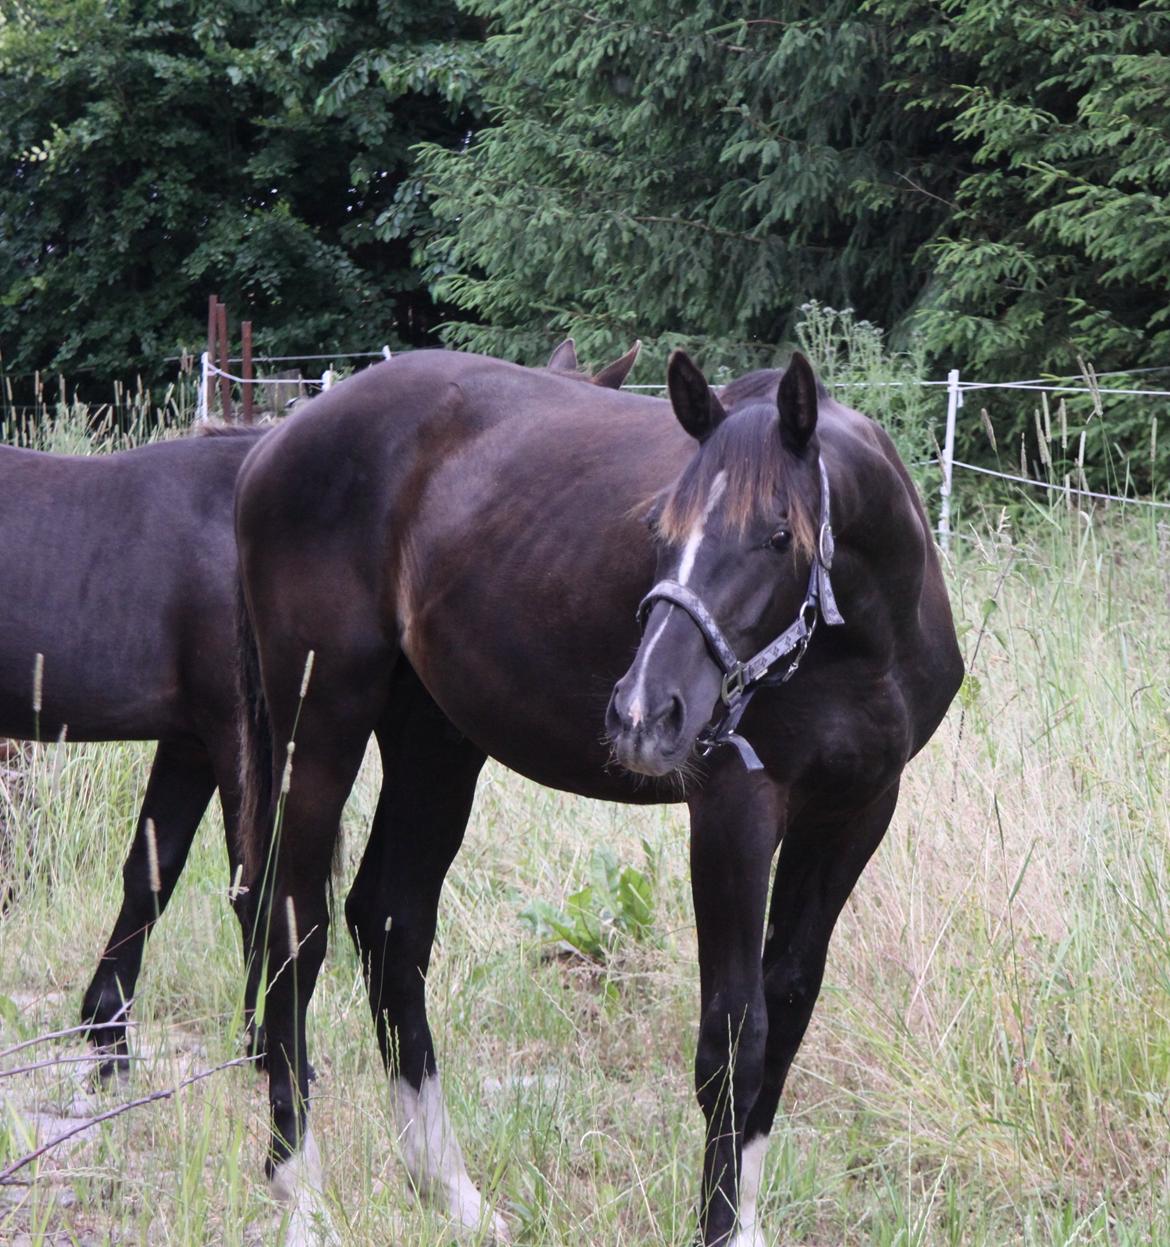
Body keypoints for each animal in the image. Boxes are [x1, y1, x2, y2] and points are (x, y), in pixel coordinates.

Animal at [232, 346, 962, 1242]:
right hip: (321, 726)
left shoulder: (855, 811)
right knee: (290, 925)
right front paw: (720, 1225)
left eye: (778, 534)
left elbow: (787, 1006)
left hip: (434, 739)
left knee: (390, 925)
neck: (863, 643)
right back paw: (301, 1190)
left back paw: (450, 1190)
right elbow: (734, 1031)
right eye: (658, 529)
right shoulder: (736, 809)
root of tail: (273, 444)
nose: (646, 713)